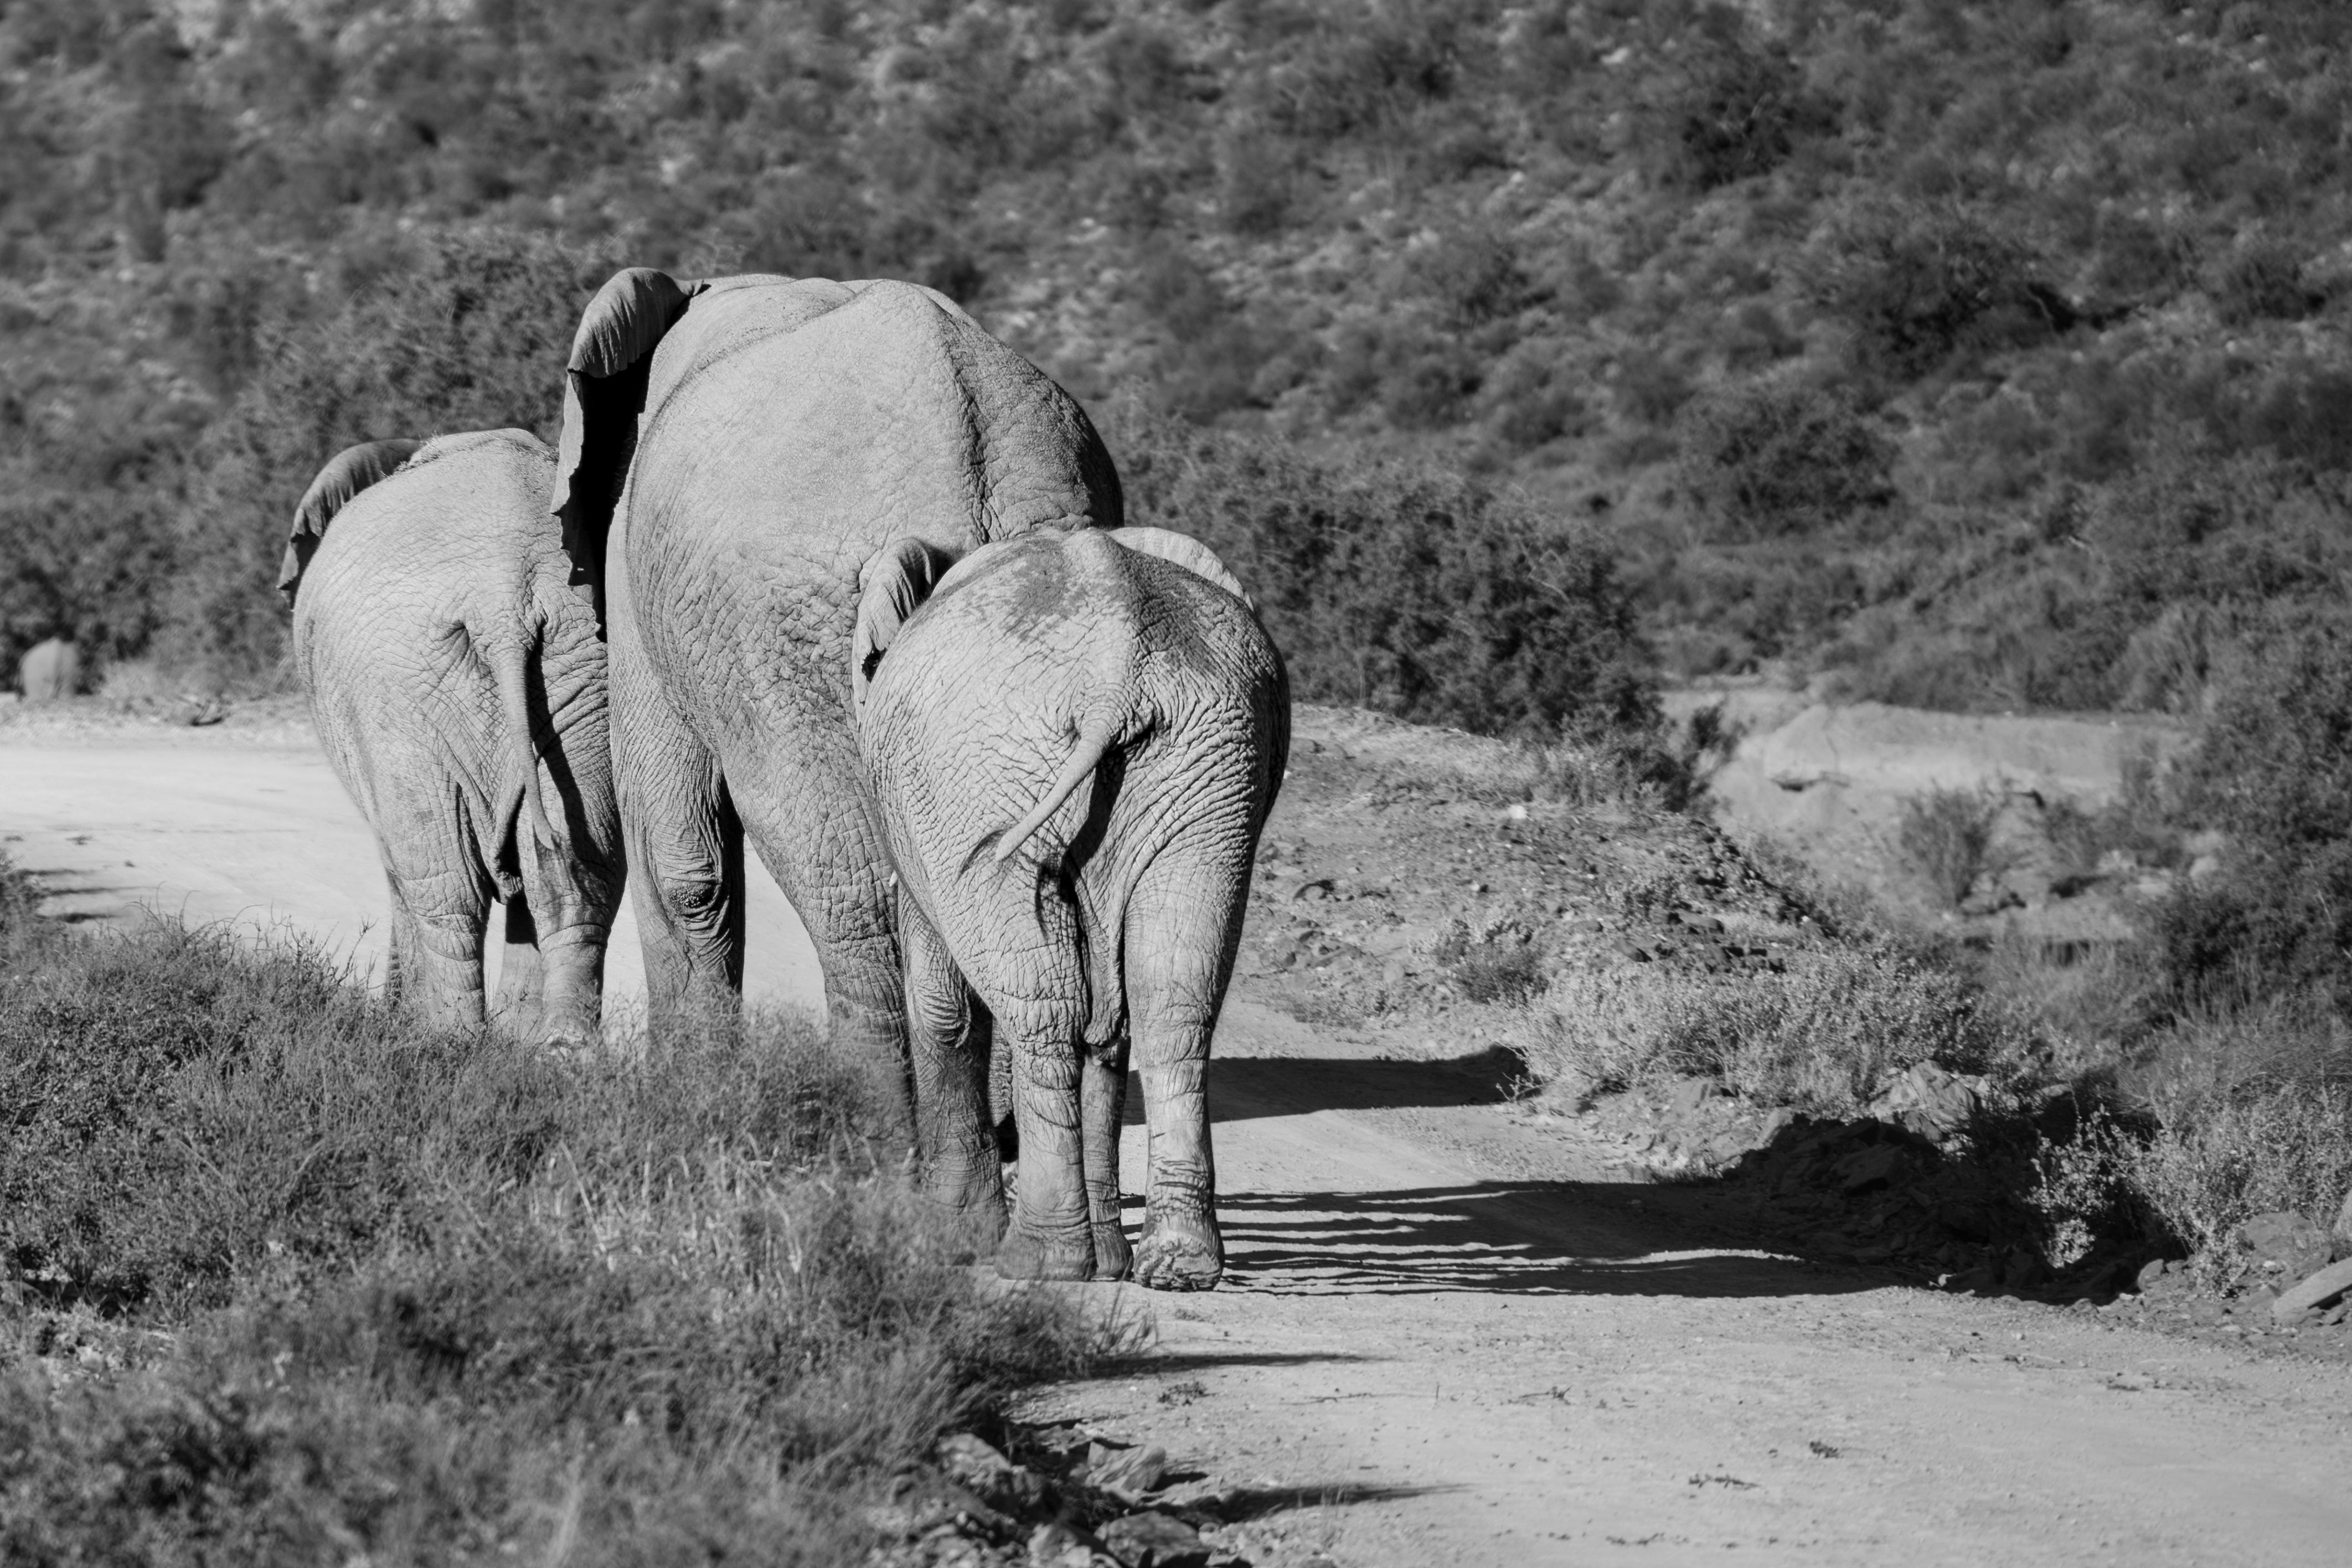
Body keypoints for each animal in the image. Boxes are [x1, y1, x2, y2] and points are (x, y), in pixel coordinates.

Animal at [284, 431, 623, 1045]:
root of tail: (504, 600)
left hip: (396, 693)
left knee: (445, 884)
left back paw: (447, 1043)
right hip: (586, 664)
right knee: (573, 871)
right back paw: (560, 1051)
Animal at [551, 268, 1122, 1136]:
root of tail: (968, 483)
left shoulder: (631, 553)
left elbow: (681, 857)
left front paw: (684, 1102)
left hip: (788, 640)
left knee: (852, 897)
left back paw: (879, 1142)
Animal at [851, 525, 1289, 1288]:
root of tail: (1115, 675)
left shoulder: (922, 827)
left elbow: (942, 1000)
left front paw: (948, 1235)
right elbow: (1109, 1027)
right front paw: (1107, 1263)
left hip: (981, 776)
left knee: (1044, 1006)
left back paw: (1040, 1260)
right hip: (1211, 766)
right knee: (1172, 996)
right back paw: (1175, 1266)